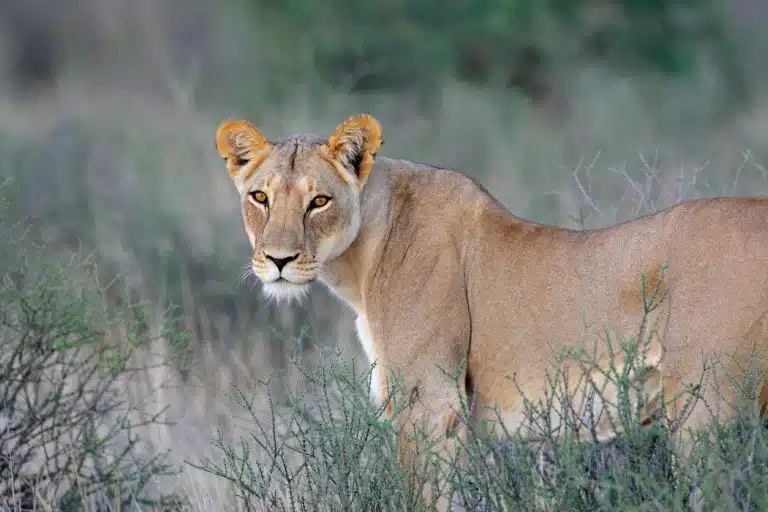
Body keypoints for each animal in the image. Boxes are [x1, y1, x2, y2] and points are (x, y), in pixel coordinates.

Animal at [215, 114, 768, 508]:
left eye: (319, 201)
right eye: (260, 197)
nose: (279, 260)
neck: (361, 257)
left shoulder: (430, 405)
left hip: (706, 408)